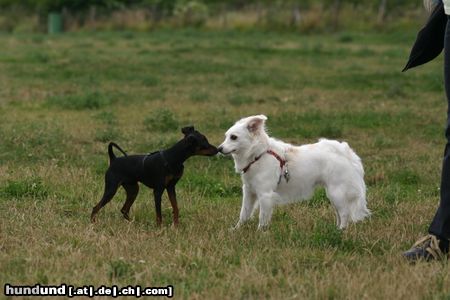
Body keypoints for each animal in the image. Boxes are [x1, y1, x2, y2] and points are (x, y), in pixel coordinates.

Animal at [218, 115, 370, 230]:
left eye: (233, 137)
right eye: (226, 136)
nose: (219, 148)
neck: (257, 155)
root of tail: (345, 152)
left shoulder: (265, 195)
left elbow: (262, 217)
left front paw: (260, 233)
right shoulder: (249, 192)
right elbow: (244, 213)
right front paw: (236, 229)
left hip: (336, 192)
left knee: (344, 213)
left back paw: (341, 231)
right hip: (333, 194)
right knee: (339, 213)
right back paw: (336, 229)